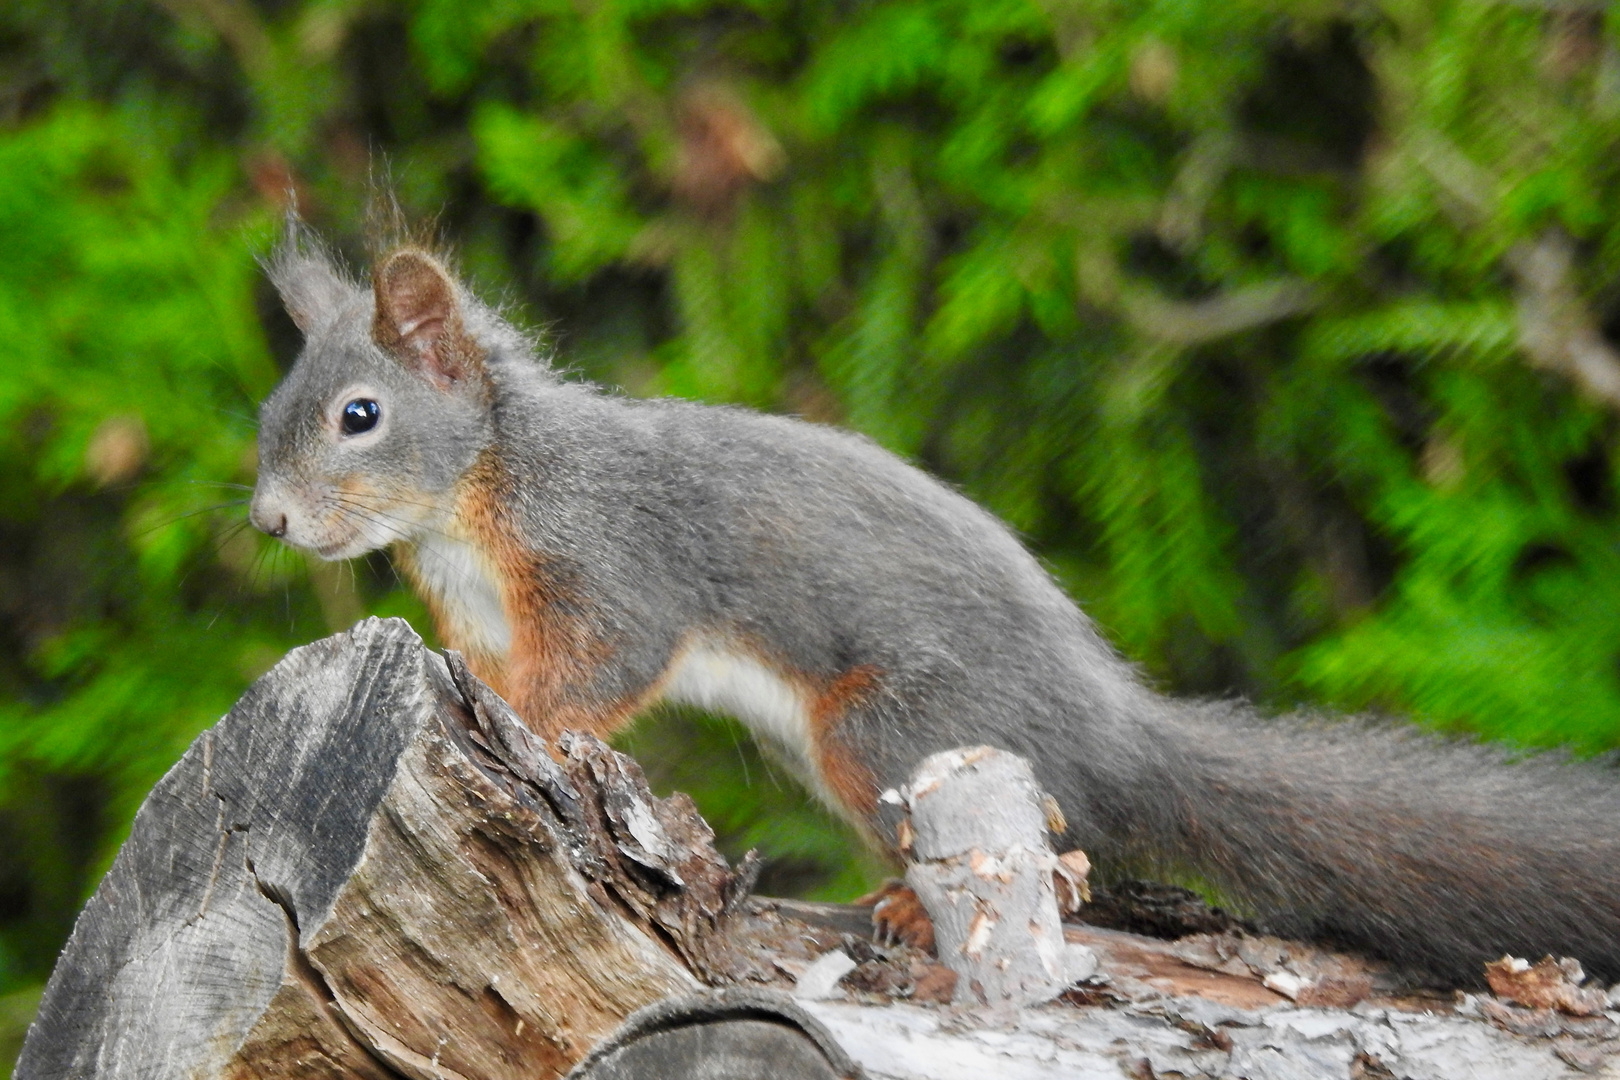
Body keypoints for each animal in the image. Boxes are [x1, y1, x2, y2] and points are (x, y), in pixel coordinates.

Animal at [246, 226, 1620, 990]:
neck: (480, 492)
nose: (266, 521)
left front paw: (527, 718)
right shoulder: (481, 607)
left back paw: (916, 900)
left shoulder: (612, 567)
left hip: (889, 729)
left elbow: (597, 670)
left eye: (359, 416)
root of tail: (1111, 727)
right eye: (269, 415)